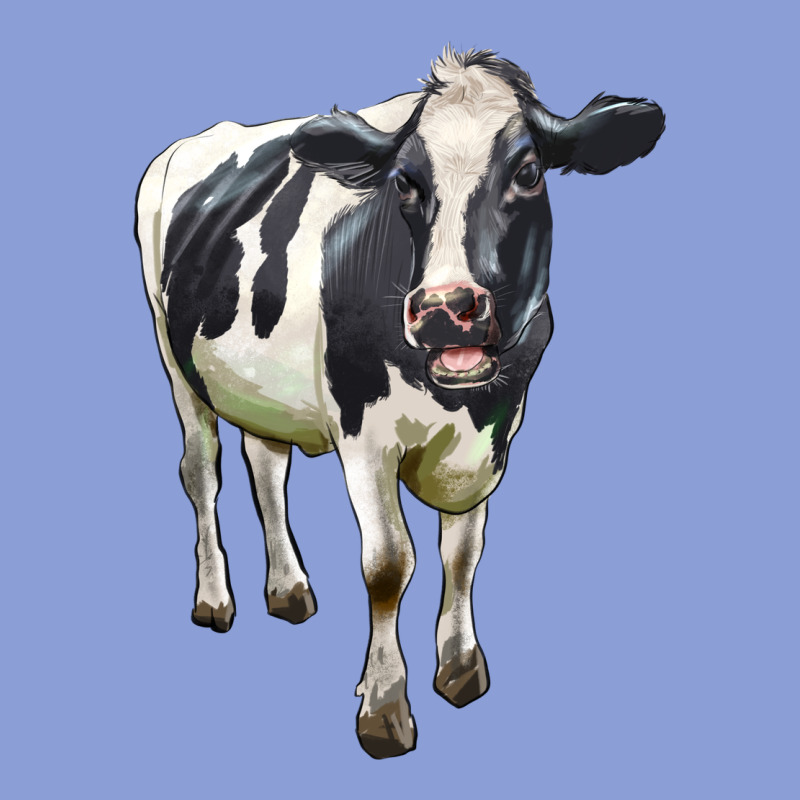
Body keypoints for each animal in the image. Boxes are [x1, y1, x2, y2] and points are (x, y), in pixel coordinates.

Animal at [135, 47, 664, 758]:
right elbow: (389, 564)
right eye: (406, 182)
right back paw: (215, 598)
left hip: (260, 385)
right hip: (174, 361)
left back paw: (288, 588)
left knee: (267, 466)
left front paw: (461, 667)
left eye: (528, 172)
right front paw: (384, 707)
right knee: (201, 473)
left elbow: (463, 552)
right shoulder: (364, 433)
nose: (445, 308)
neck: (461, 404)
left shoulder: (495, 437)